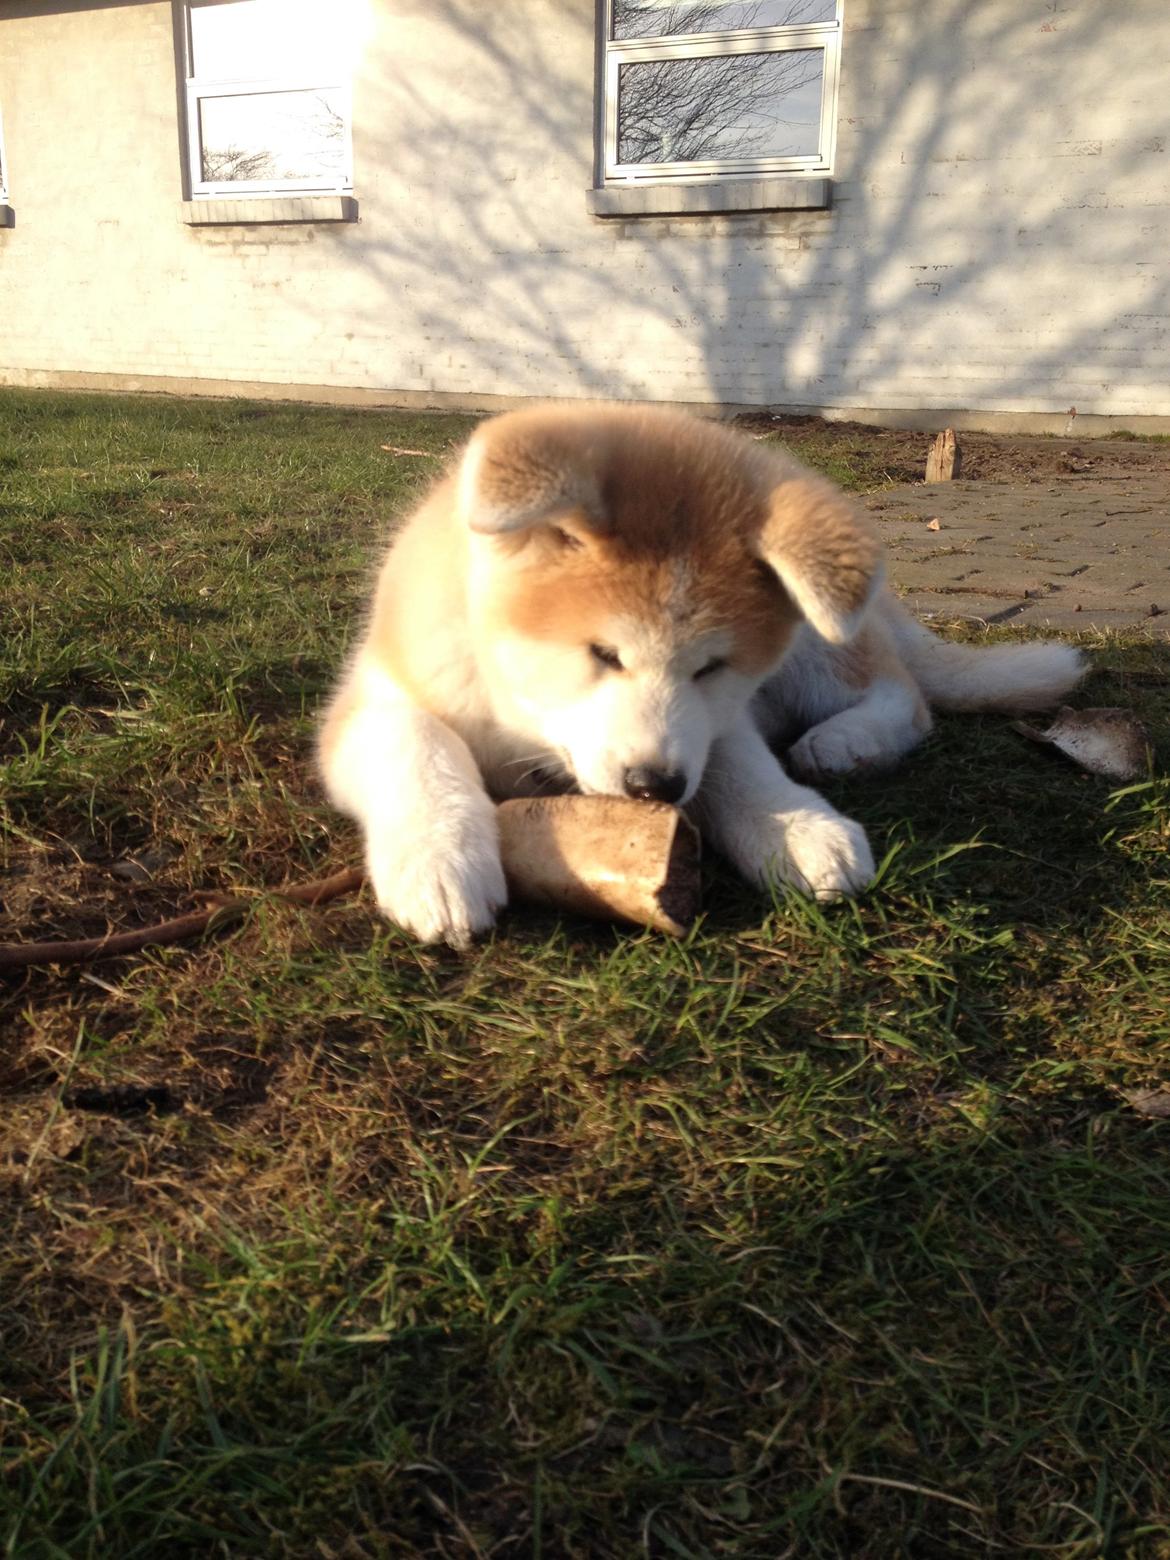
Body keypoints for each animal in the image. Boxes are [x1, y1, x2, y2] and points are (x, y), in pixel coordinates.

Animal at [318, 402, 1079, 942]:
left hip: (818, 647)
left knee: (905, 697)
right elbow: (416, 745)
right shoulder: (376, 698)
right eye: (603, 654)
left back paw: (845, 741)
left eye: (712, 668)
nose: (654, 787)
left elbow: (737, 762)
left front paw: (794, 825)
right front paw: (439, 858)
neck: (521, 719)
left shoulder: (718, 722)